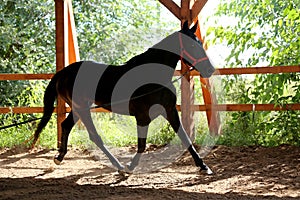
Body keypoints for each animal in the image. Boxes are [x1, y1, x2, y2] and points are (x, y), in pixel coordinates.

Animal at [32, 21, 216, 174]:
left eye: (200, 43)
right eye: (191, 44)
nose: (210, 69)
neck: (154, 76)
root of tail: (63, 72)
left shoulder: (170, 111)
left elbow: (186, 139)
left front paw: (204, 166)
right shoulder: (142, 117)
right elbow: (142, 145)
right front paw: (130, 167)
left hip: (78, 108)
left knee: (66, 125)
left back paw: (59, 157)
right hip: (81, 108)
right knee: (94, 136)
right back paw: (119, 166)